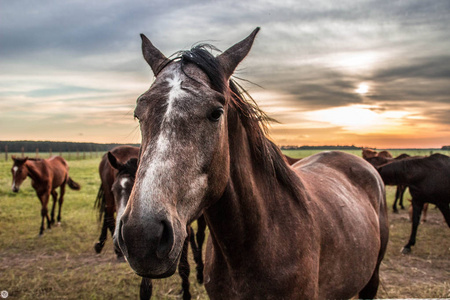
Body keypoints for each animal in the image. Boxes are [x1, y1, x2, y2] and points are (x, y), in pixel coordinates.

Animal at [106, 152, 207, 300]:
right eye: (113, 190)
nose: (118, 241)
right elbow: (145, 285)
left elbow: (183, 266)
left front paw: (186, 291)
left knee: (200, 236)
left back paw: (200, 272)